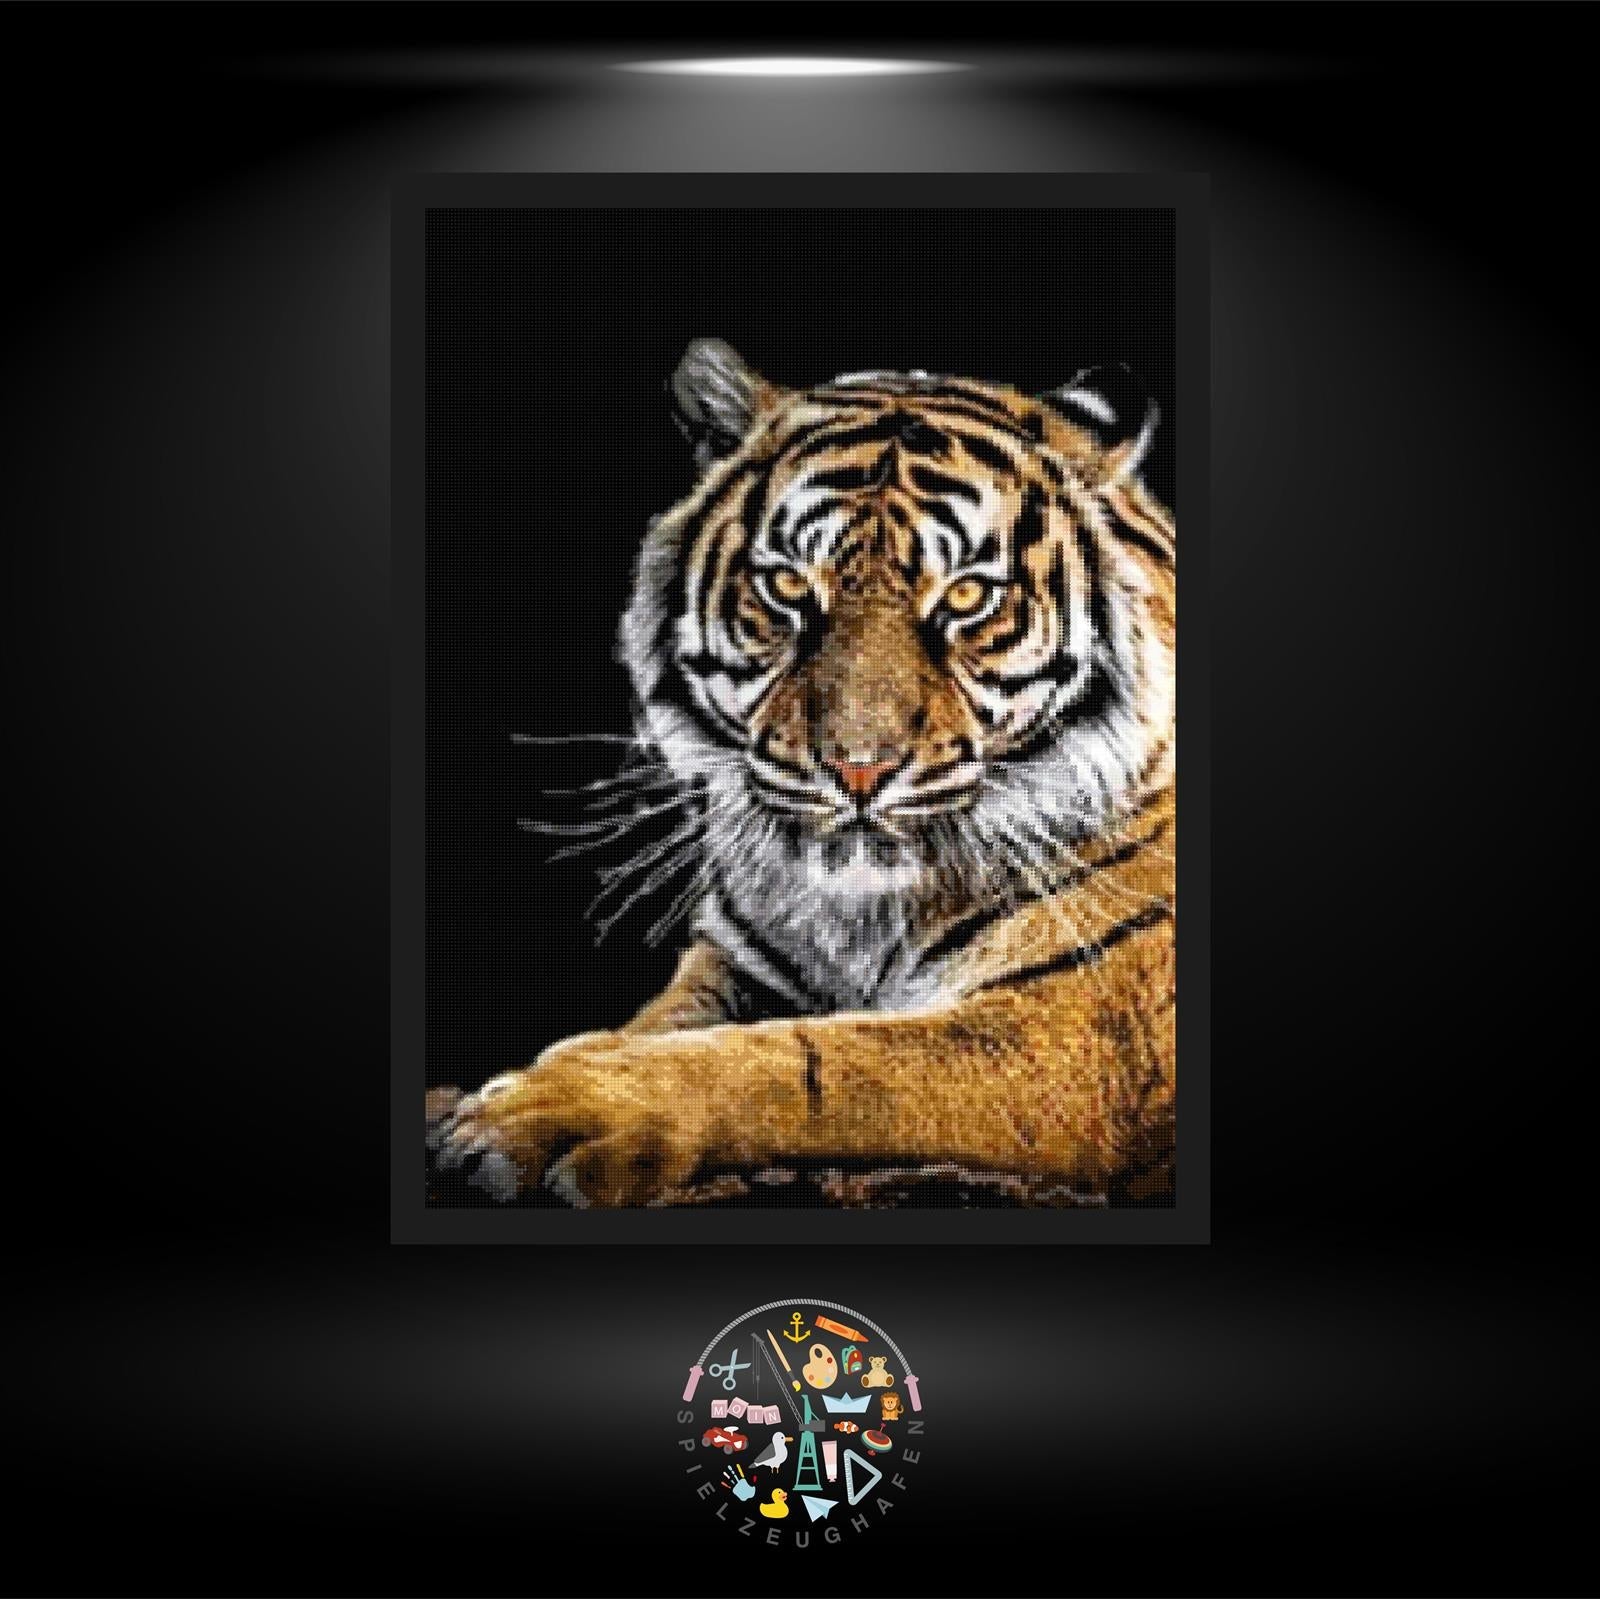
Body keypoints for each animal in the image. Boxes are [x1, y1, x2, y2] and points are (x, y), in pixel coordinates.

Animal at [427, 337, 1176, 1207]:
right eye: (786, 585)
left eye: (966, 597)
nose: (858, 769)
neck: (861, 913)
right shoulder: (735, 963)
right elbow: (659, 1025)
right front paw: (544, 1071)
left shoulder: (1080, 1034)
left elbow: (815, 1060)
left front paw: (551, 1107)